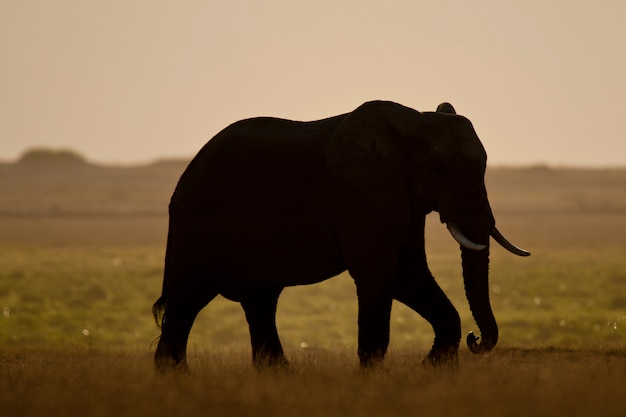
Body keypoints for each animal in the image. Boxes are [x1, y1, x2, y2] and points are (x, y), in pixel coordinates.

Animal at [152, 100, 528, 370]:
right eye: (440, 169)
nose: (475, 339)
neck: (414, 122)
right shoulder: (357, 198)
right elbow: (380, 275)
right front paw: (373, 380)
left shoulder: (399, 201)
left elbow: (408, 275)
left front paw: (429, 370)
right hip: (197, 226)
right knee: (187, 299)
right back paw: (177, 381)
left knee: (259, 301)